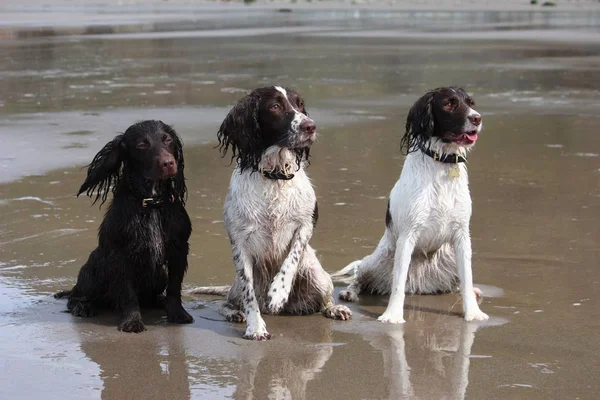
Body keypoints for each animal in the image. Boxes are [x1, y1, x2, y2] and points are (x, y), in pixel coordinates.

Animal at [55, 120, 193, 332]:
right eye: (142, 144)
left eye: (167, 139)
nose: (169, 163)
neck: (151, 201)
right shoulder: (120, 254)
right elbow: (128, 293)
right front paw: (132, 322)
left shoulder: (179, 247)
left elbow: (174, 286)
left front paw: (178, 313)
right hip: (95, 267)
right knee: (76, 296)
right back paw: (83, 307)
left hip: (159, 273)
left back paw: (159, 301)